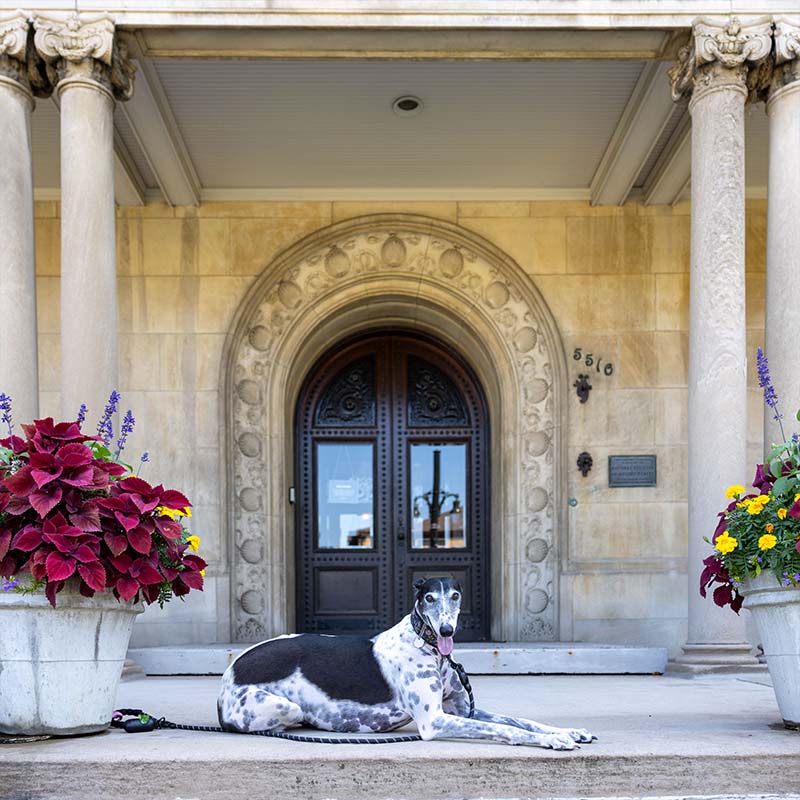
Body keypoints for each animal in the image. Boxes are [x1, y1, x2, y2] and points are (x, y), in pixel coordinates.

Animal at [217, 580, 592, 748]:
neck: (430, 648)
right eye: (428, 597)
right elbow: (507, 729)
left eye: (455, 595)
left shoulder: (460, 710)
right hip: (285, 706)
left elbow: (521, 720)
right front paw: (553, 741)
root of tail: (226, 680)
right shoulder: (434, 721)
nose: (446, 630)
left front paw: (567, 731)